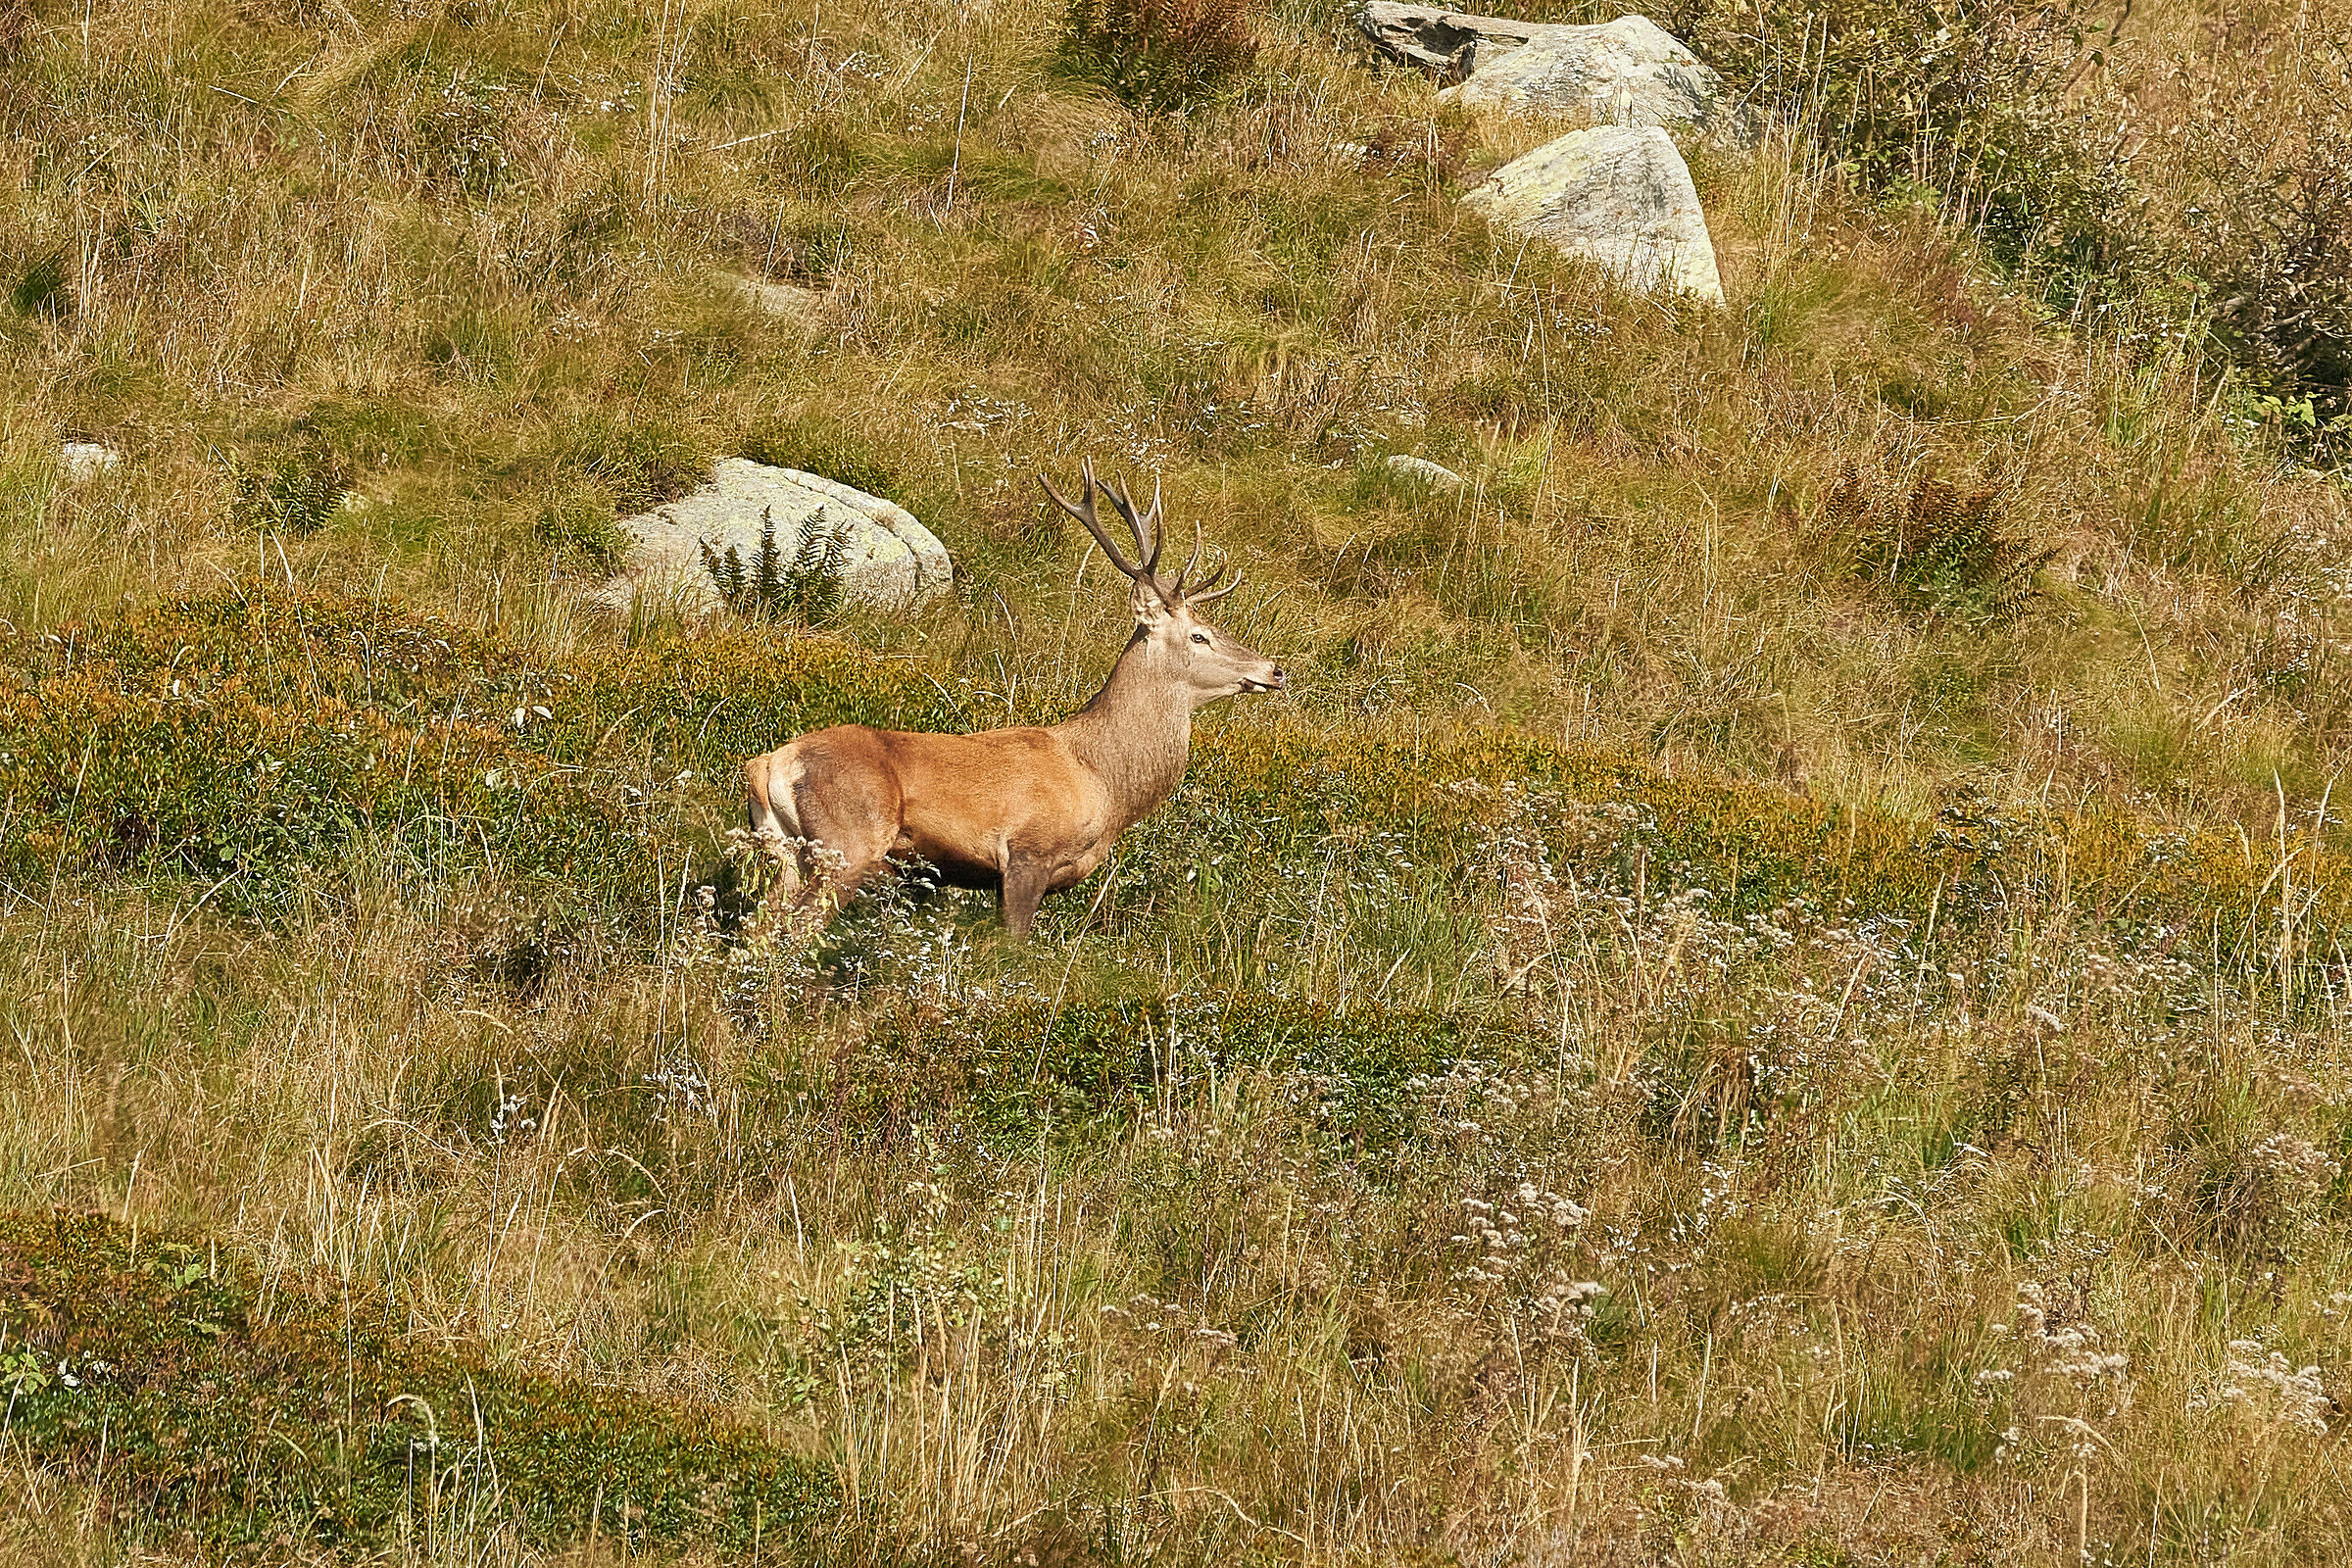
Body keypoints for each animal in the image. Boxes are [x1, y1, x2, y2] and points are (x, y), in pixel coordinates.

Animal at [740, 461, 1286, 938]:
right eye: (1199, 636)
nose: (1274, 670)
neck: (1103, 781)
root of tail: (770, 764)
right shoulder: (1027, 852)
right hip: (847, 844)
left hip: (785, 850)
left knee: (759, 929)